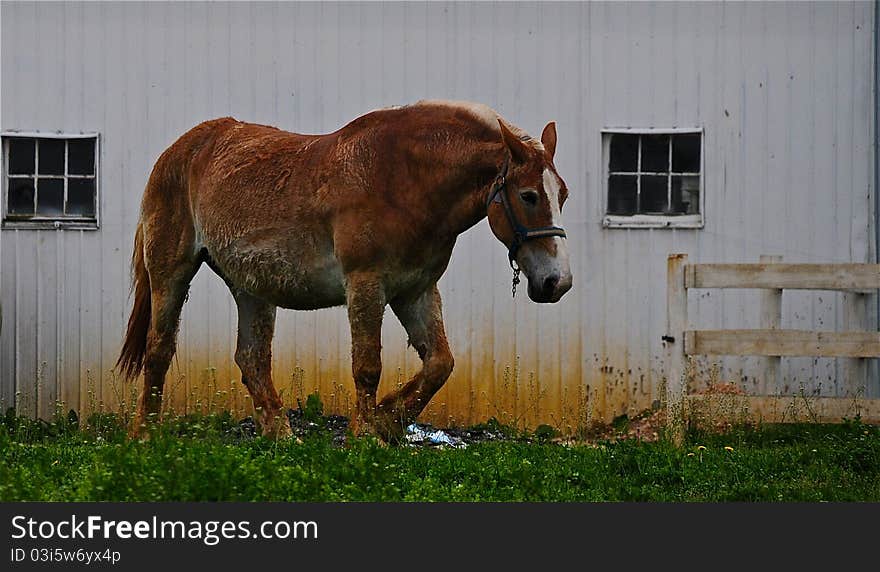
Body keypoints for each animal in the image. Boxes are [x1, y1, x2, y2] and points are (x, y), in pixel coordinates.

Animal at [115, 100, 572, 440]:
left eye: (562, 195)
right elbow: (367, 367)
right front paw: (366, 435)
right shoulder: (366, 285)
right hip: (171, 272)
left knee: (252, 359)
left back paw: (282, 437)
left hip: (252, 287)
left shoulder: (416, 291)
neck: (406, 181)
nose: (557, 282)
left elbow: (440, 363)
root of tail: (182, 148)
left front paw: (388, 421)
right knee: (159, 350)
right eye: (529, 195)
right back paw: (144, 436)